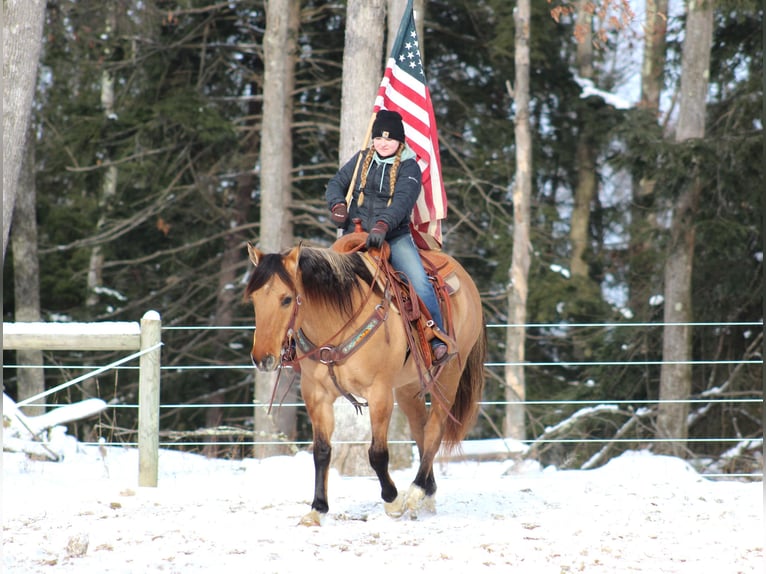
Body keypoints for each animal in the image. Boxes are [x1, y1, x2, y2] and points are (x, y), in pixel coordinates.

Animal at [246, 237, 486, 528]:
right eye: (254, 299)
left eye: (286, 299)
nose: (262, 358)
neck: (338, 322)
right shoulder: (316, 395)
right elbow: (322, 451)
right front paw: (318, 508)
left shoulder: (379, 392)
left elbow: (377, 454)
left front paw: (392, 501)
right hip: (408, 385)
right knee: (420, 428)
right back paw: (426, 493)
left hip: (450, 373)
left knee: (434, 430)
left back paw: (415, 491)